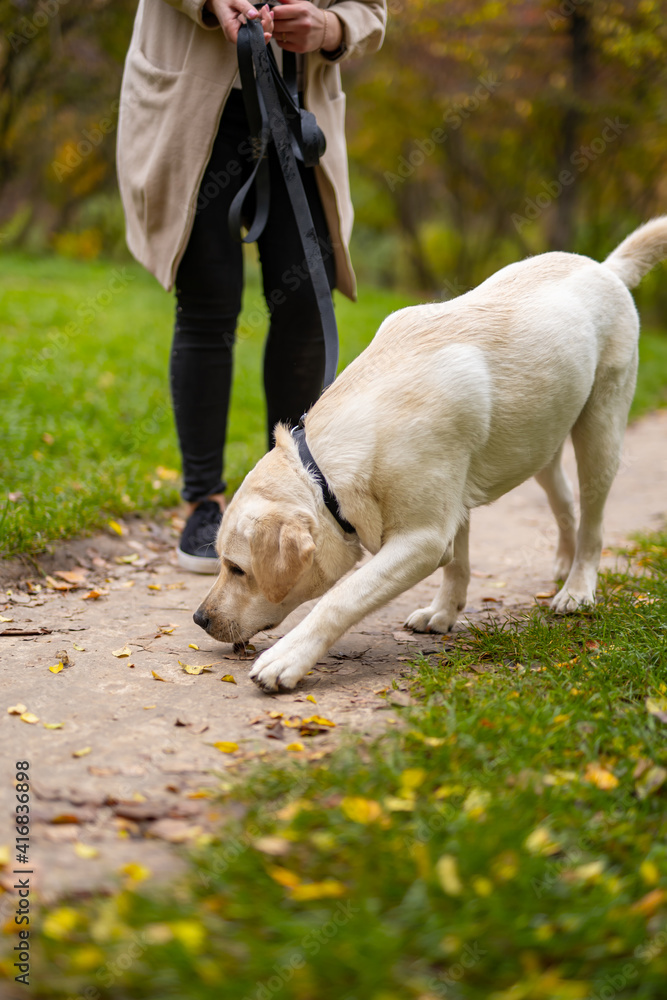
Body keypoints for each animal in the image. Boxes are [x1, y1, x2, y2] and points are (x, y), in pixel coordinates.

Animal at [193, 217, 667, 688]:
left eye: (237, 568)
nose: (199, 618)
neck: (326, 471)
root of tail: (604, 268)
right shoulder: (452, 506)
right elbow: (457, 564)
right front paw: (444, 612)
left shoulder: (424, 537)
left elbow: (343, 597)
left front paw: (288, 658)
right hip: (538, 444)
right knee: (566, 503)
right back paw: (563, 564)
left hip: (600, 434)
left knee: (593, 522)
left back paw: (578, 588)